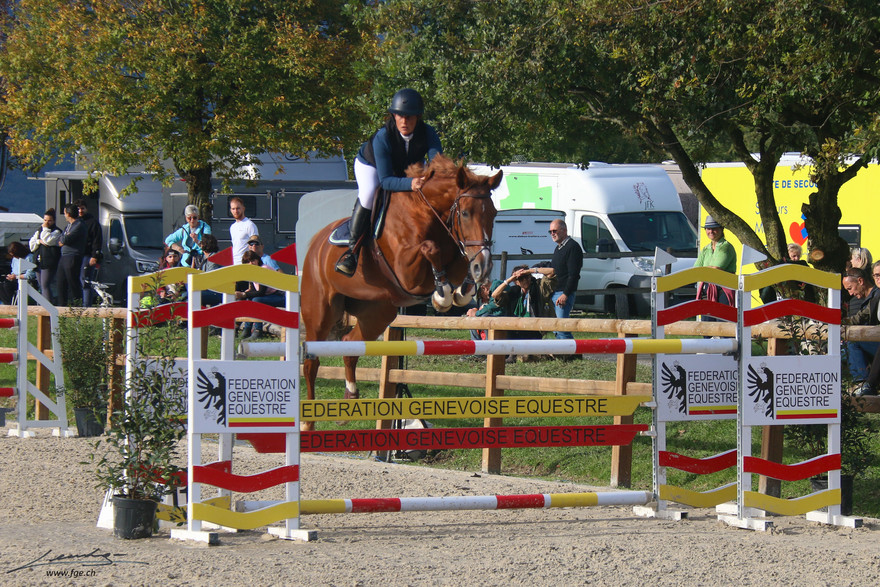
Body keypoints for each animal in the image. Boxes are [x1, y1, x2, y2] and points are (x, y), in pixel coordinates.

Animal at [300, 155, 502, 429]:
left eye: (493, 213)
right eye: (465, 212)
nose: (485, 265)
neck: (428, 213)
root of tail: (315, 244)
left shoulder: (455, 253)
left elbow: (460, 262)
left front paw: (462, 289)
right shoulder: (408, 273)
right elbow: (431, 248)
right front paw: (442, 295)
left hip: (377, 313)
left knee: (349, 345)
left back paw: (350, 398)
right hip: (321, 312)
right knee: (312, 361)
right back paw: (307, 422)